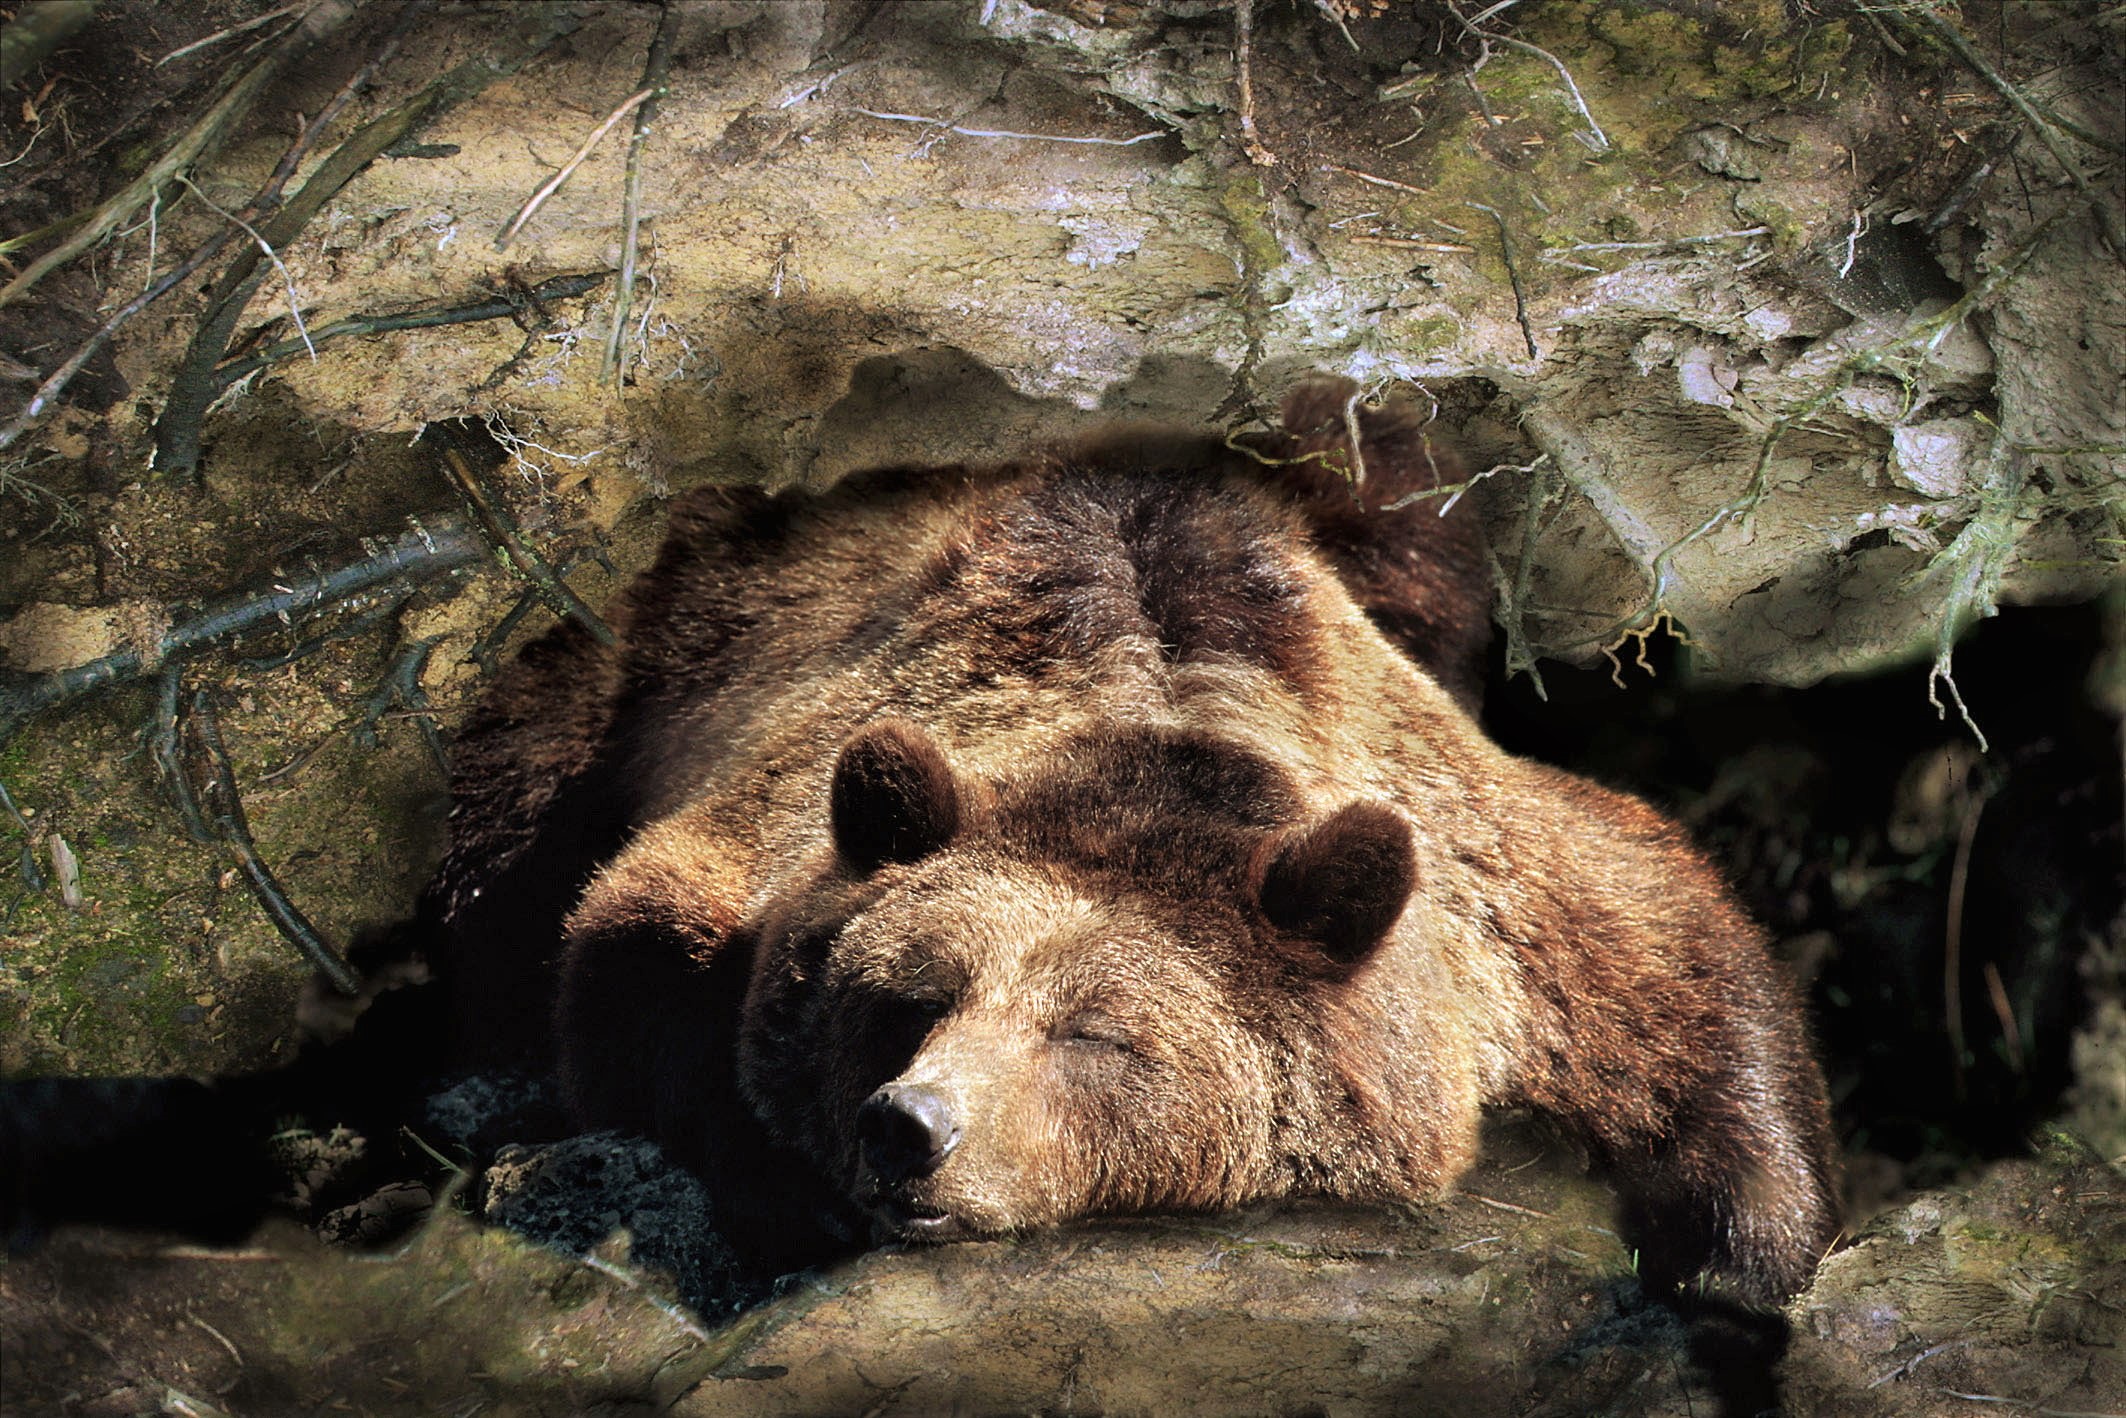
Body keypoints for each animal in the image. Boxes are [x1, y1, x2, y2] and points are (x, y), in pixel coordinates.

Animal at [419, 375, 1839, 1302]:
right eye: (905, 994)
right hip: (632, 648)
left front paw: (1738, 1254)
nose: (911, 1125)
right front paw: (781, 1177)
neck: (1149, 736)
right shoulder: (777, 792)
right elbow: (636, 943)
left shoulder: (1487, 887)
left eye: (1097, 1035)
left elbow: (1669, 954)